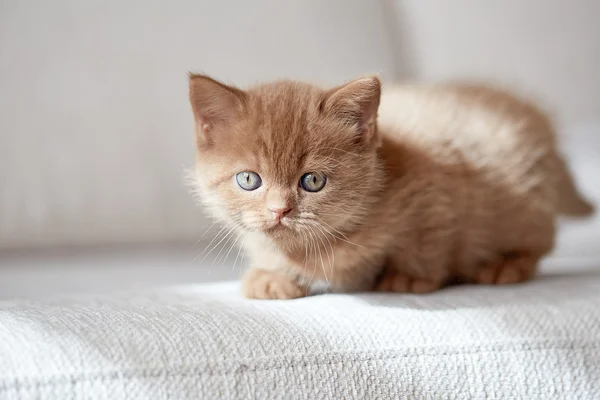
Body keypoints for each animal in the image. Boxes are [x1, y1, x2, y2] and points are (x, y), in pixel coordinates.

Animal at [190, 75, 592, 300]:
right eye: (248, 180)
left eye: (313, 181)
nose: (280, 210)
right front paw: (272, 276)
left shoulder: (436, 196)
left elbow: (427, 244)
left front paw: (408, 277)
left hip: (523, 208)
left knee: (542, 238)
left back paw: (505, 265)